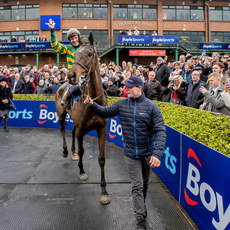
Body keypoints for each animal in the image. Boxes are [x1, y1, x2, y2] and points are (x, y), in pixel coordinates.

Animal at [54, 32, 110, 205]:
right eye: (76, 54)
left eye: (90, 54)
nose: (71, 75)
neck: (93, 101)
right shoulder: (81, 130)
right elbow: (82, 150)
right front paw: (82, 171)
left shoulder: (102, 129)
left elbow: (101, 158)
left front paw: (104, 191)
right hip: (61, 115)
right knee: (63, 130)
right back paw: (66, 151)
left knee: (71, 130)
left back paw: (72, 153)